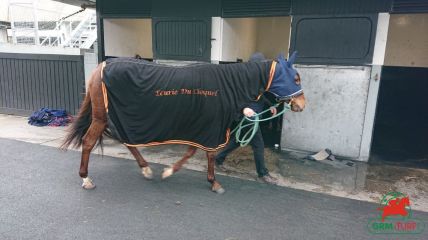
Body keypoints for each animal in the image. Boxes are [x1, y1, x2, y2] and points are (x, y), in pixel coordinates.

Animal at [61, 54, 306, 193]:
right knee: (89, 142)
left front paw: (174, 172)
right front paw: (211, 182)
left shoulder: (204, 126)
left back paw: (146, 169)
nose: (301, 104)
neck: (226, 84)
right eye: (295, 78)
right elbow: (203, 154)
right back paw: (86, 179)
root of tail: (101, 66)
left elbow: (195, 152)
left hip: (119, 117)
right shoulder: (208, 126)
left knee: (126, 140)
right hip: (102, 117)